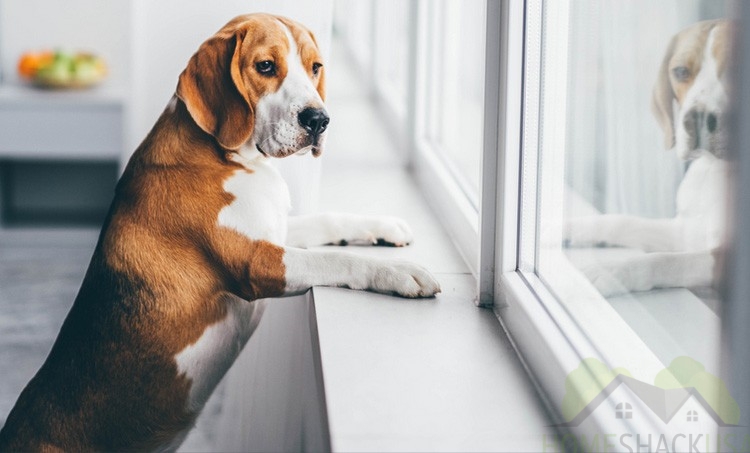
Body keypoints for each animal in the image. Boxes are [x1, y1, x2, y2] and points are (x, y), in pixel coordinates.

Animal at [0, 14, 440, 452]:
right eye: (266, 66)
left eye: (315, 67)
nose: (319, 120)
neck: (228, 156)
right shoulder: (258, 263)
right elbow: (333, 259)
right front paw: (401, 272)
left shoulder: (274, 231)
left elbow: (329, 221)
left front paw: (384, 226)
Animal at [568, 19, 732, 296]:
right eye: (680, 71)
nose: (696, 120)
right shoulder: (685, 231)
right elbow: (621, 222)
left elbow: (666, 261)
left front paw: (610, 272)